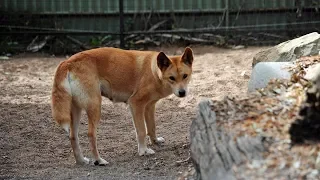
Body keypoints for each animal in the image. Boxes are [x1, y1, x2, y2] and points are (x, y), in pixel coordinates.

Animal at [51, 46, 194, 166]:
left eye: (185, 76)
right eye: (172, 78)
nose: (182, 93)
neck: (154, 72)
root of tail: (68, 62)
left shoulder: (149, 106)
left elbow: (152, 127)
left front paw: (155, 142)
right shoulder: (136, 104)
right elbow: (142, 131)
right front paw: (144, 151)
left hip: (76, 110)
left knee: (73, 136)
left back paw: (81, 161)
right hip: (95, 106)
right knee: (91, 134)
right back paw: (98, 160)